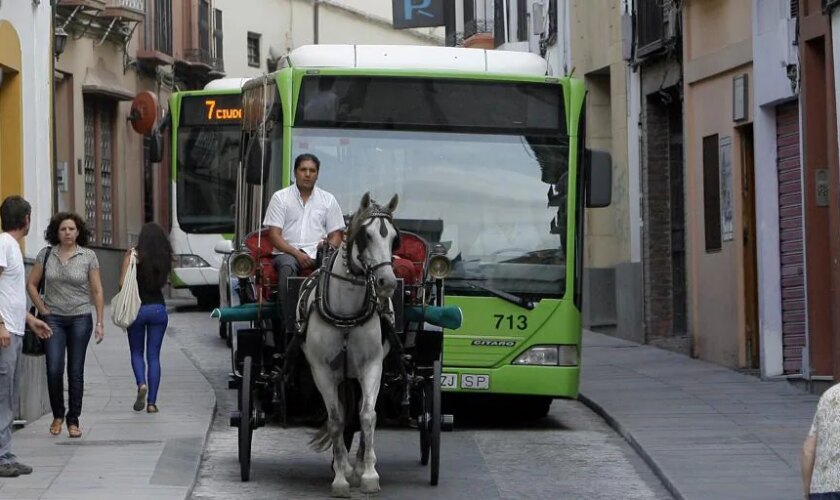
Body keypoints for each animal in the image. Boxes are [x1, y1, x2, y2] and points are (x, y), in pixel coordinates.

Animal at [302, 191, 400, 496]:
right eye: (365, 235)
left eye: (395, 238)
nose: (387, 282)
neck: (346, 314)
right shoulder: (322, 371)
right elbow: (336, 420)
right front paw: (340, 478)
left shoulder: (372, 366)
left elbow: (368, 415)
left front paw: (368, 474)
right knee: (344, 415)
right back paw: (344, 466)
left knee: (358, 413)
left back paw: (356, 466)